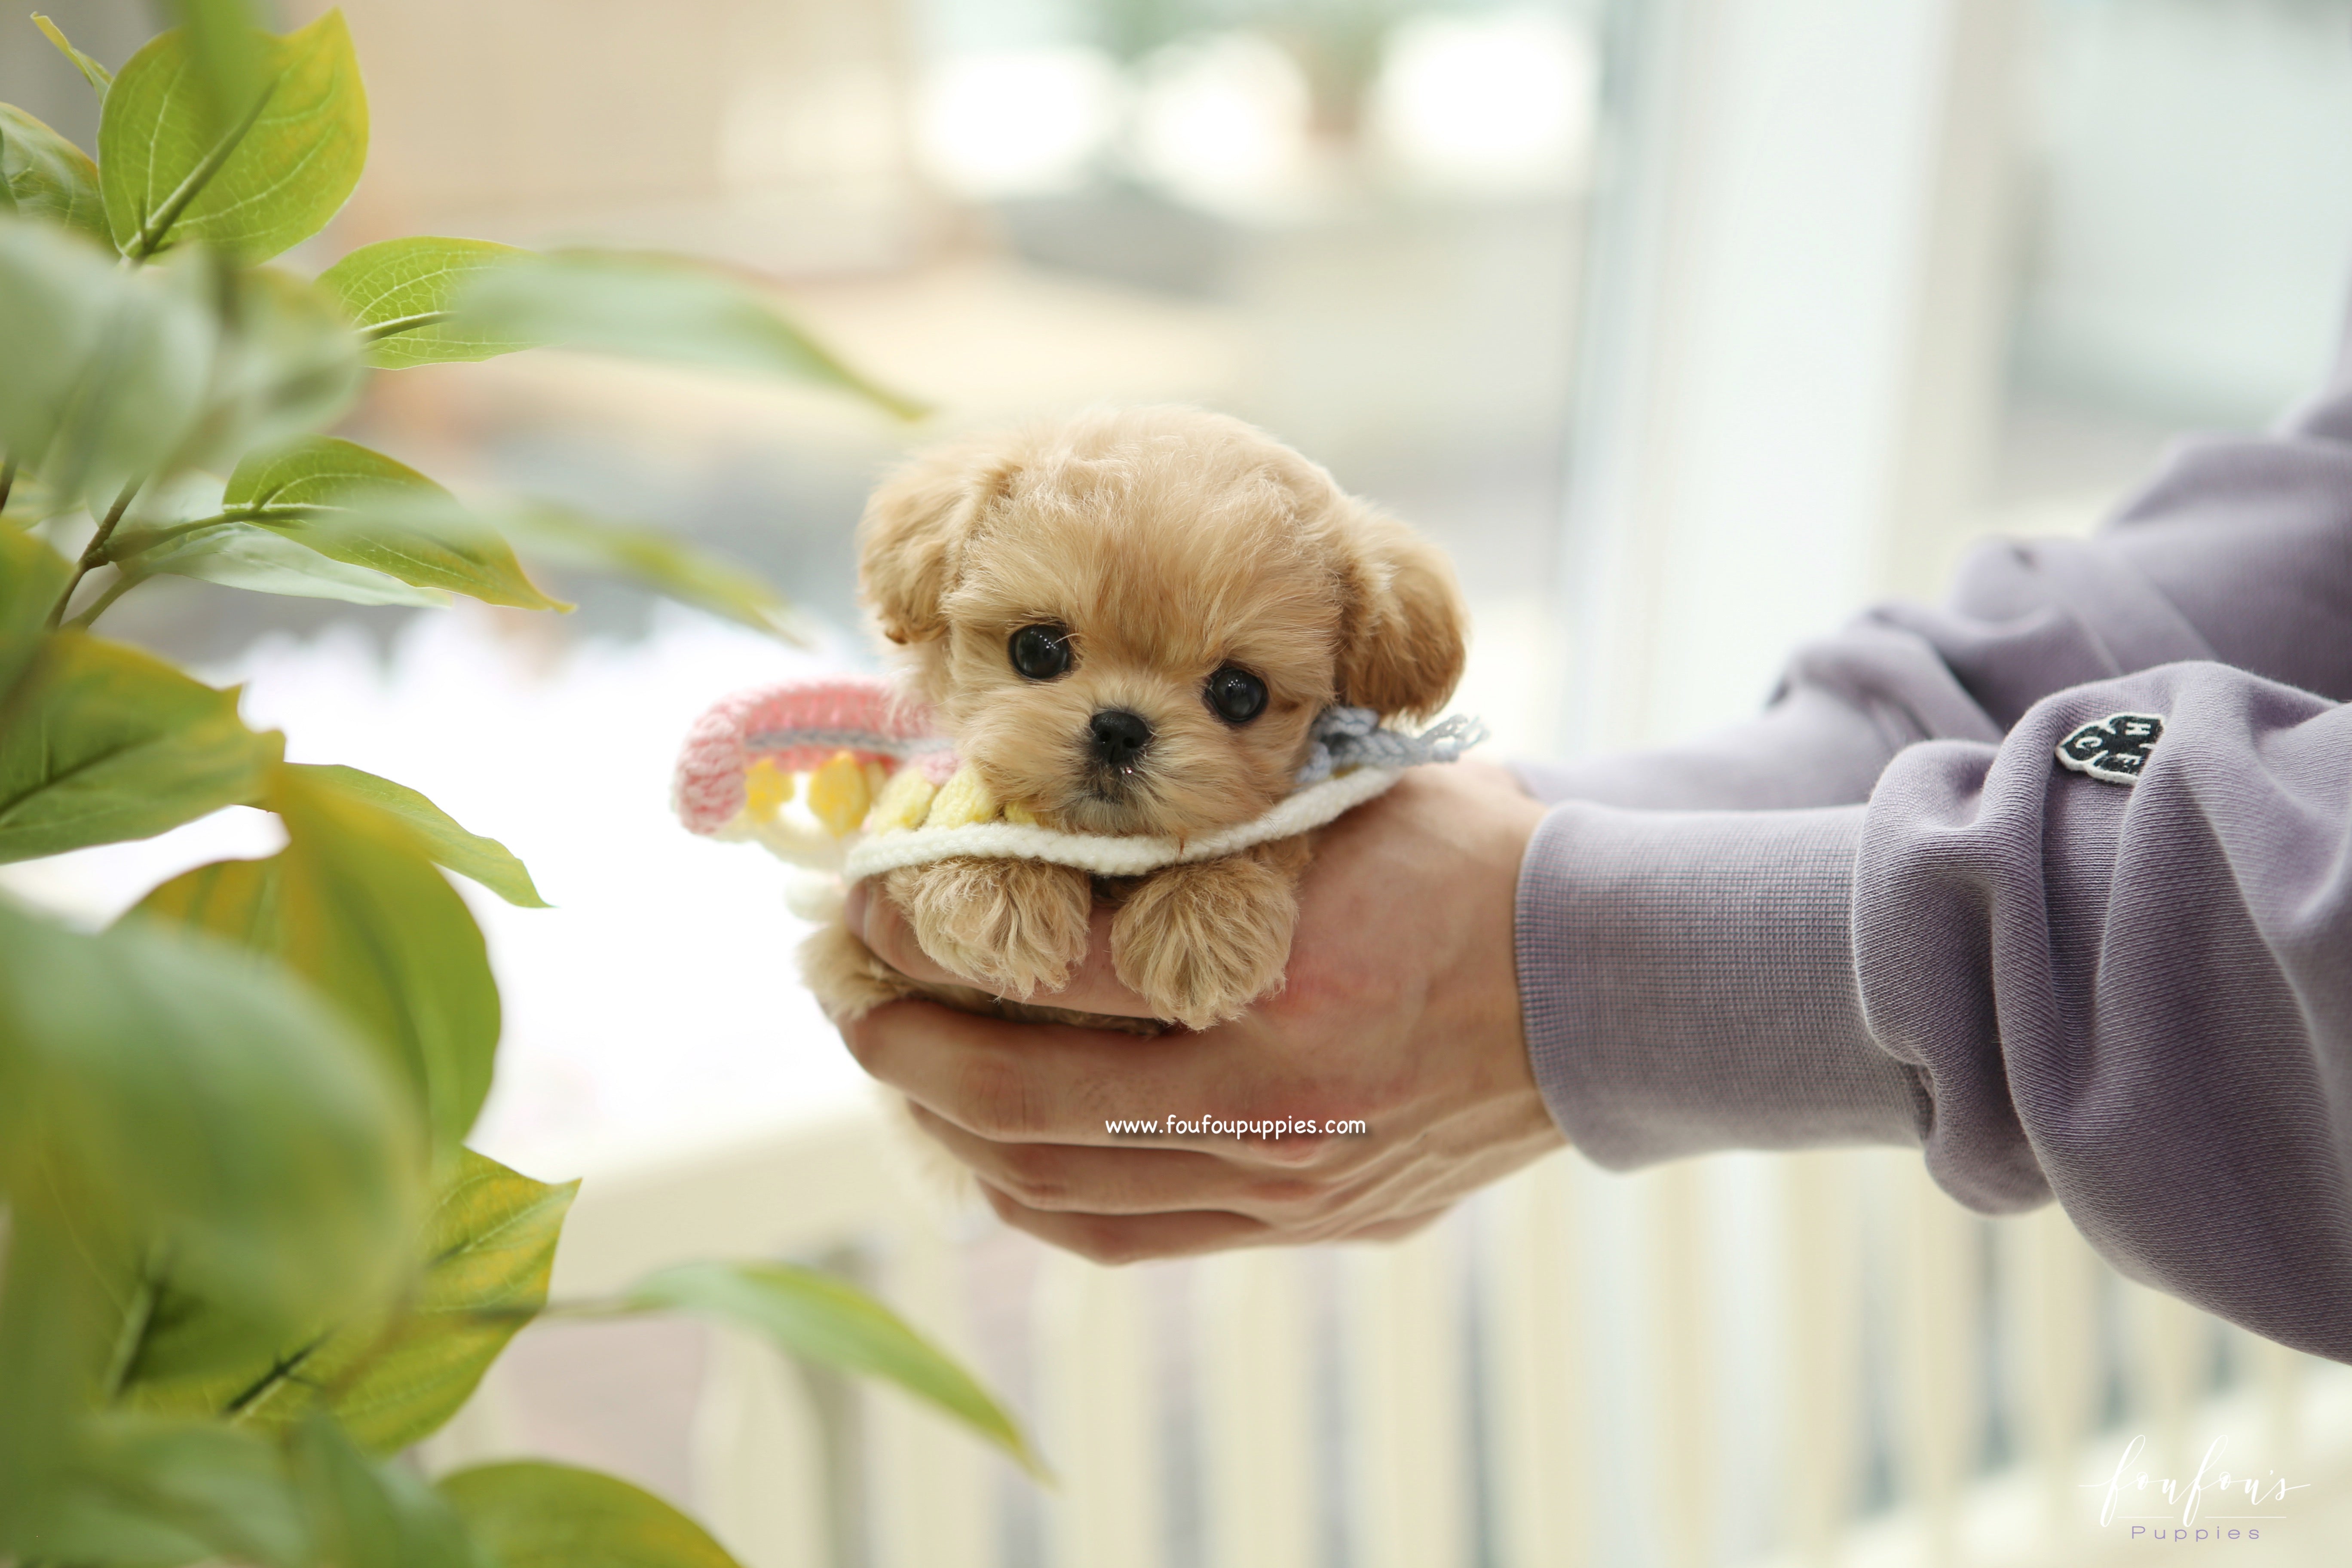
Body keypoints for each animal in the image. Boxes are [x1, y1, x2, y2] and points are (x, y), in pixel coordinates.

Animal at [818, 404, 1458, 1029]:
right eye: (1037, 650)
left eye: (1239, 694)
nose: (1119, 729)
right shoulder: (859, 955)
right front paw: (994, 880)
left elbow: (1268, 833)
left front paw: (1205, 913)